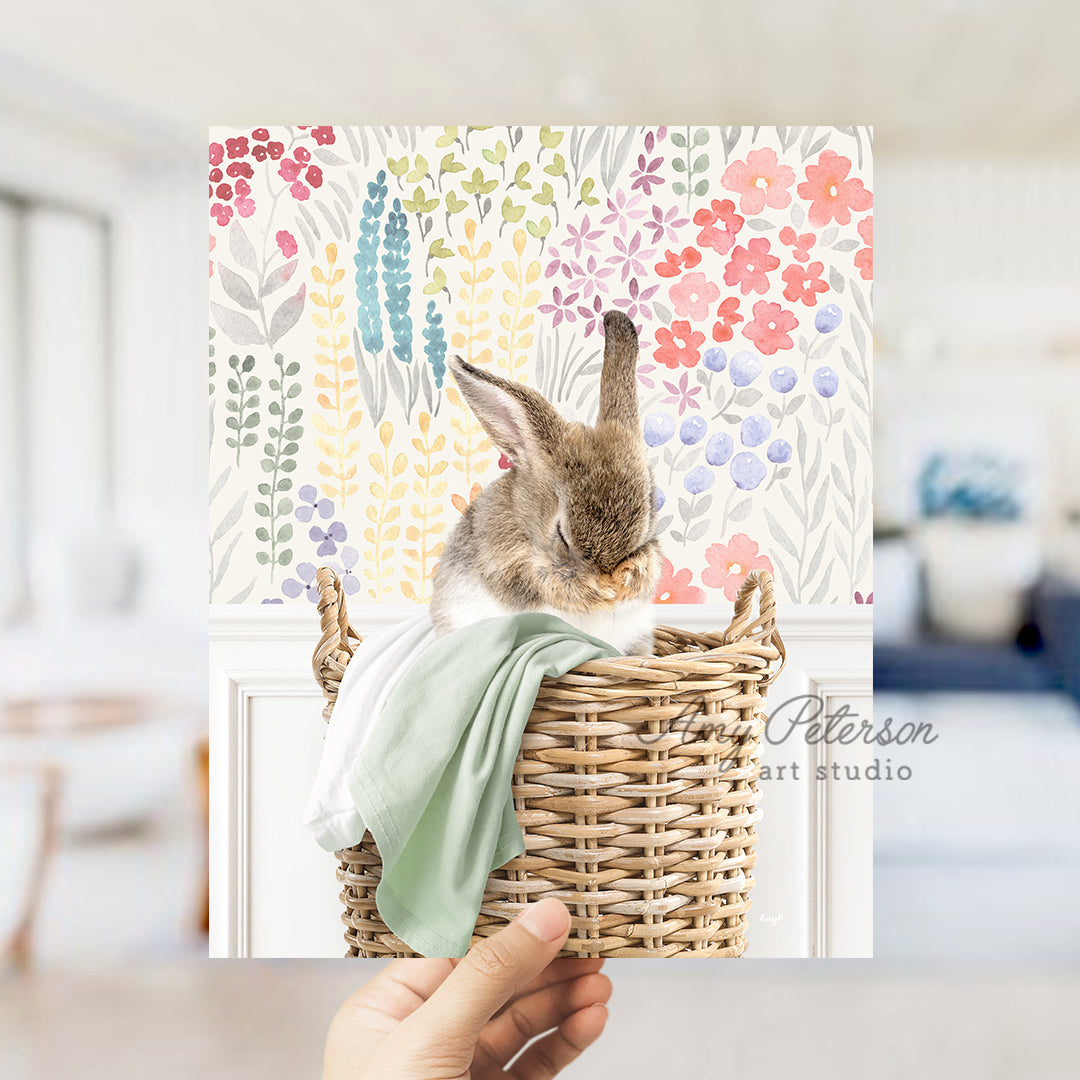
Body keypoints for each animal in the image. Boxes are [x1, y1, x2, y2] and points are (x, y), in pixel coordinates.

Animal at [427, 308, 660, 652]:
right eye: (561, 533)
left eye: (647, 519)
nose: (608, 576)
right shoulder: (510, 567)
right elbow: (545, 581)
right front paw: (597, 591)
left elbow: (650, 565)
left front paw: (627, 580)